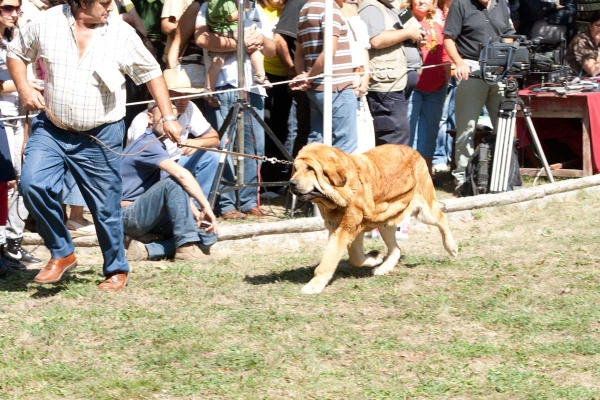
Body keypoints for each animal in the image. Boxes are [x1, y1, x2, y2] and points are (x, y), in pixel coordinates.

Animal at [288, 144, 458, 294]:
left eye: (309, 168)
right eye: (295, 169)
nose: (291, 183)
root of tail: (414, 151)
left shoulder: (345, 229)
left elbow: (328, 260)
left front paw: (314, 285)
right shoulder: (347, 229)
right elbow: (355, 258)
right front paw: (375, 257)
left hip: (425, 212)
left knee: (442, 218)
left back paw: (451, 247)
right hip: (386, 222)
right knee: (396, 249)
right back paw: (383, 268)